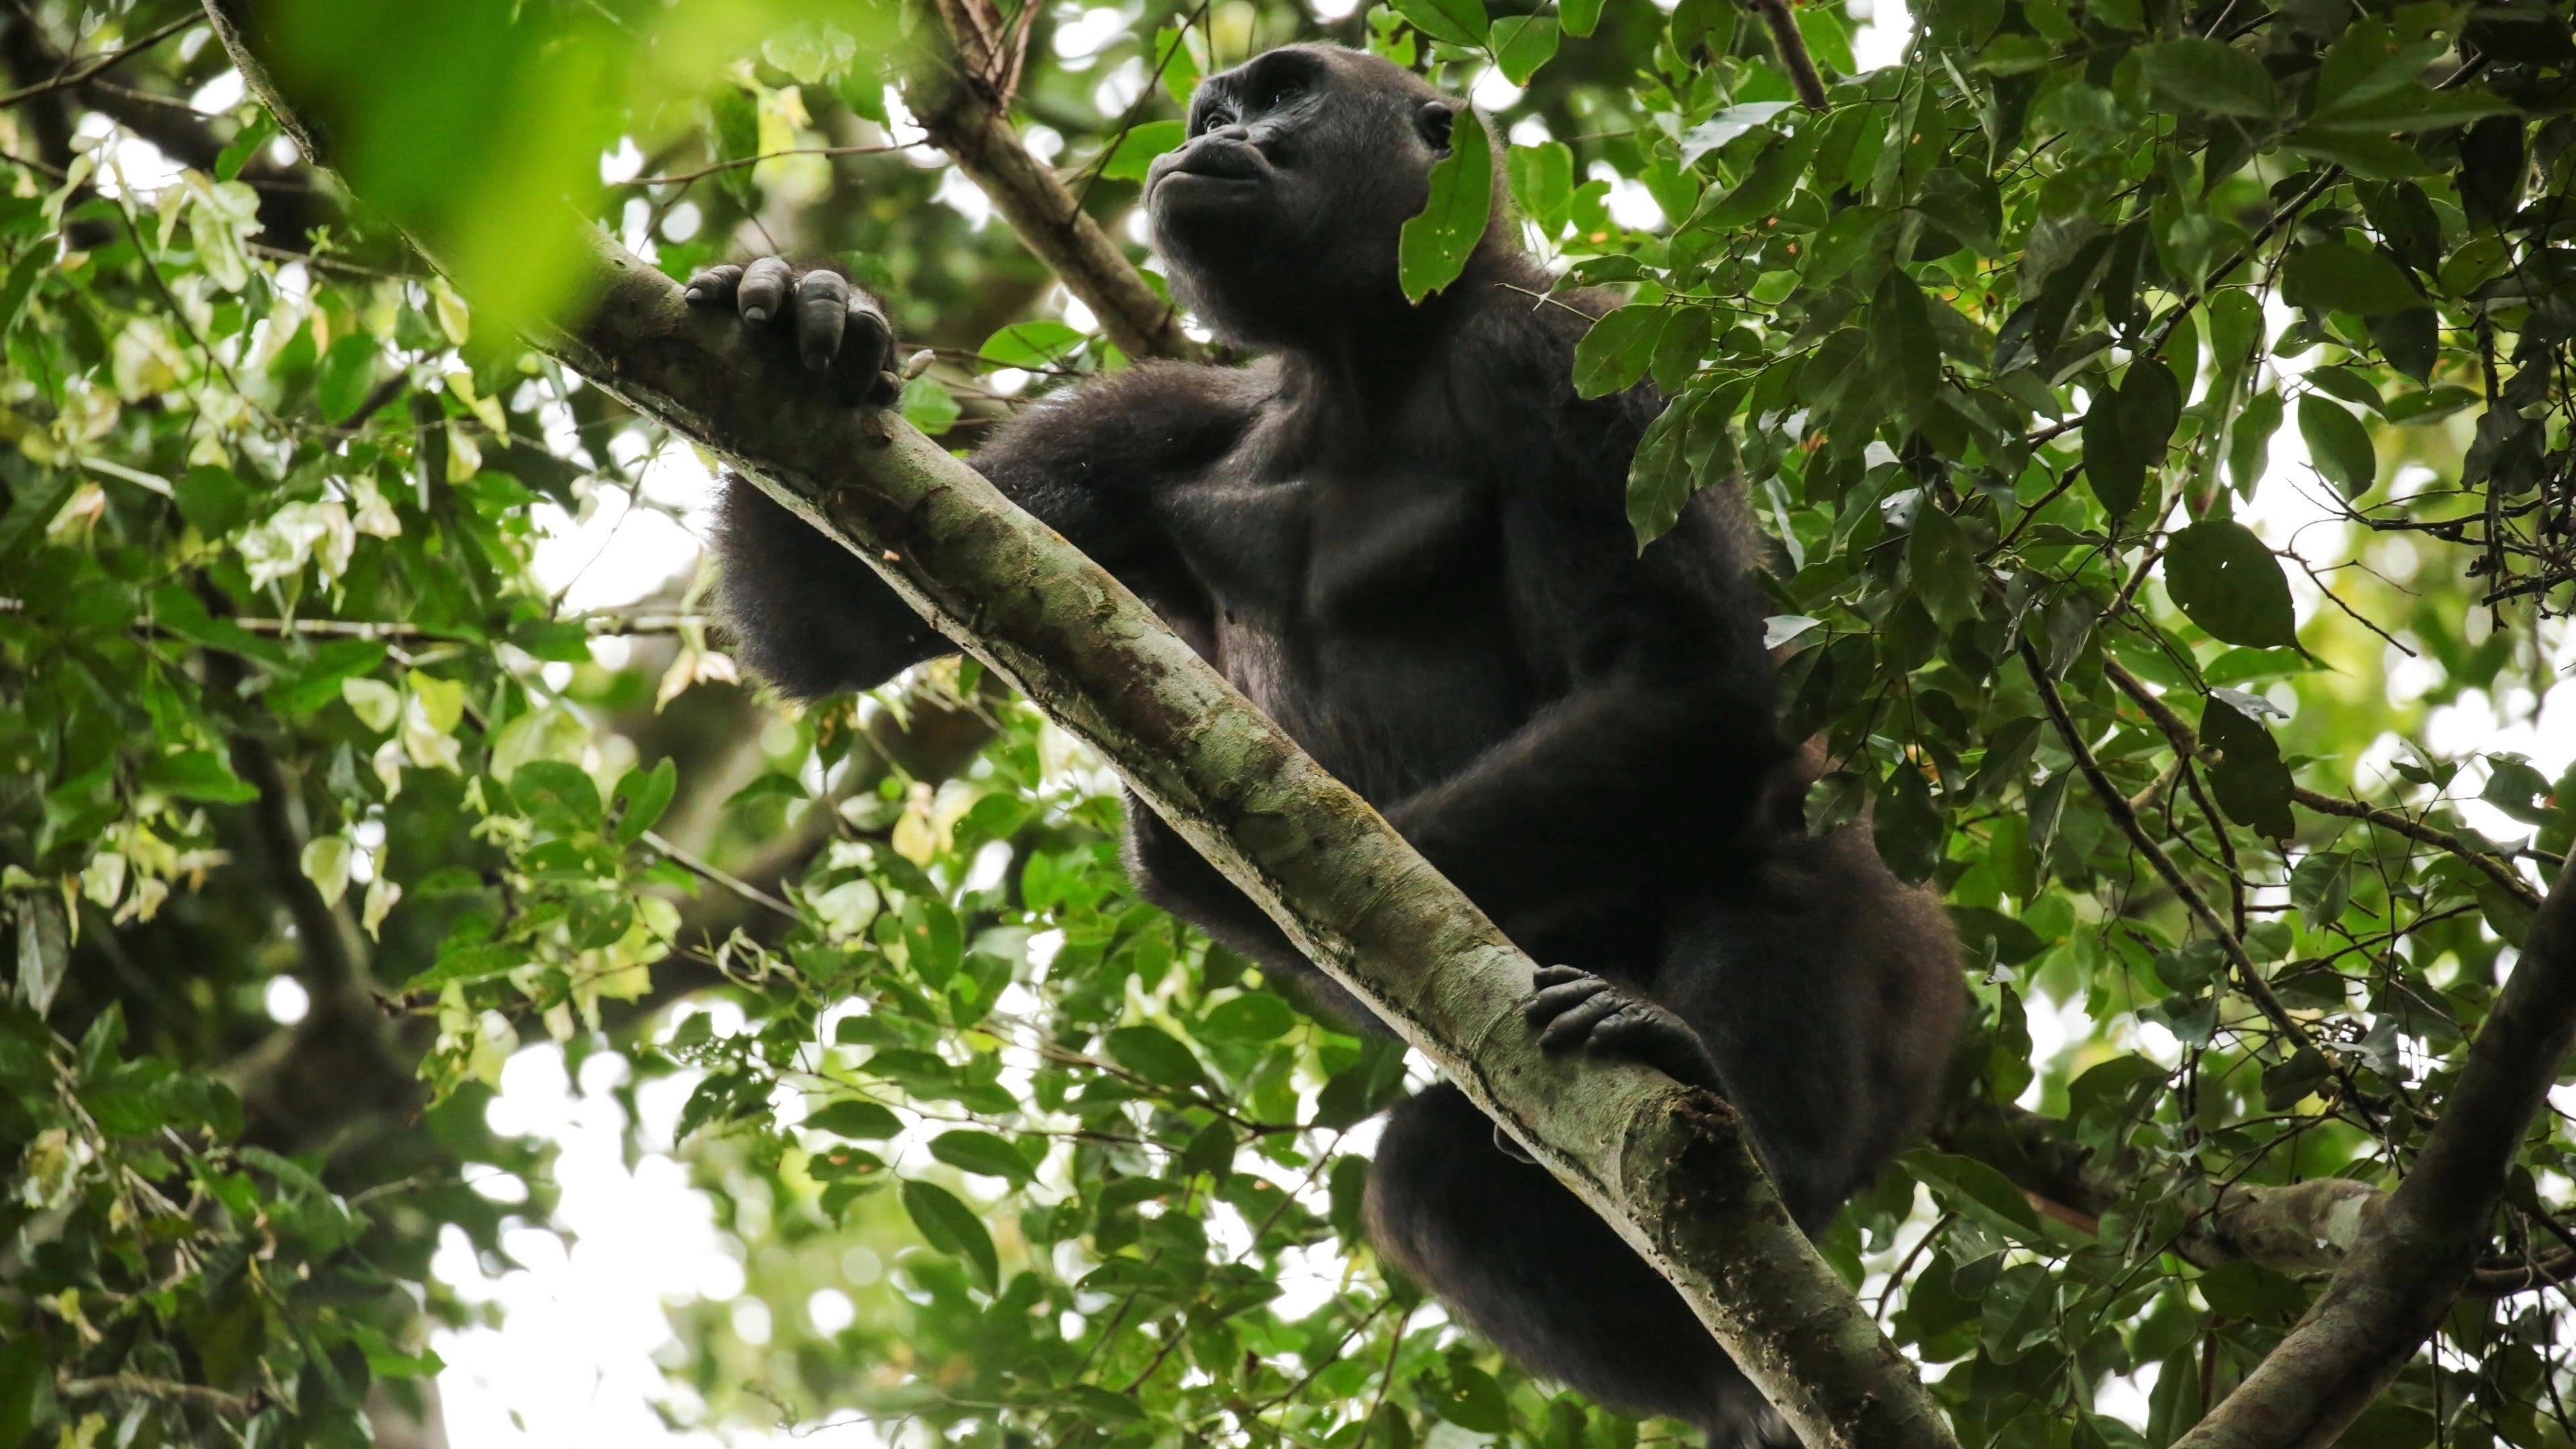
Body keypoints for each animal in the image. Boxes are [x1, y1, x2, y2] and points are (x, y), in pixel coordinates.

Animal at [695, 39, 1957, 1433]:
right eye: (1216, 109)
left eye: (1286, 96)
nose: (1212, 138)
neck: (1365, 355)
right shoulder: (1162, 415)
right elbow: (839, 612)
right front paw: (802, 328)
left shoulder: (1565, 343)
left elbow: (1685, 674)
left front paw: (1216, 876)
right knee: (1436, 1186)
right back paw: (1718, 1375)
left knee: (1774, 863)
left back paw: (1742, 1122)